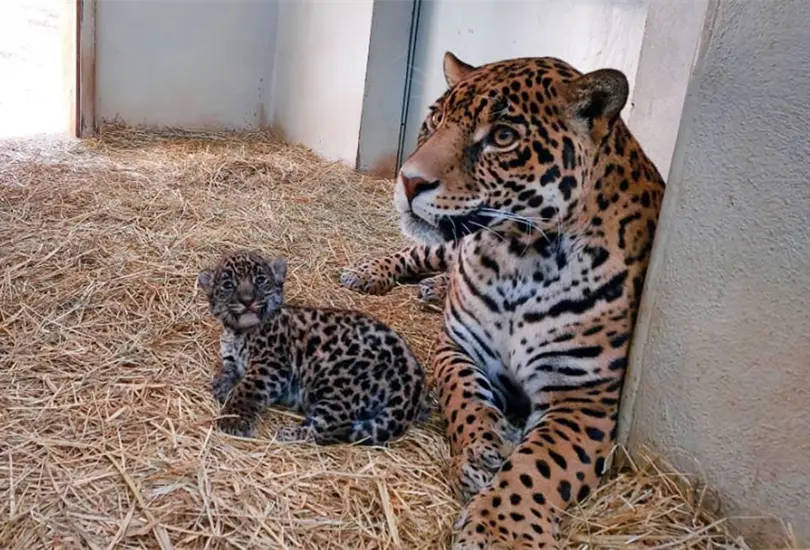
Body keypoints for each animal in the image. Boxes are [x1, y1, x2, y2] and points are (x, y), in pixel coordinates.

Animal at [199, 249, 427, 446]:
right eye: (228, 285)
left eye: (261, 281)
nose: (247, 301)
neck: (237, 332)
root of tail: (412, 383)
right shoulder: (232, 357)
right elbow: (230, 371)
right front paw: (222, 384)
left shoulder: (270, 365)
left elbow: (247, 390)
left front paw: (233, 419)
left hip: (338, 380)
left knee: (334, 427)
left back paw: (289, 433)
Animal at [341, 51, 665, 549]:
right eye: (434, 121)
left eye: (503, 137)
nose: (408, 181)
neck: (520, 261)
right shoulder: (457, 348)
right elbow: (465, 398)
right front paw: (484, 450)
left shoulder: (584, 396)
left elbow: (539, 464)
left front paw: (498, 530)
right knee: (420, 251)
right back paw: (369, 274)